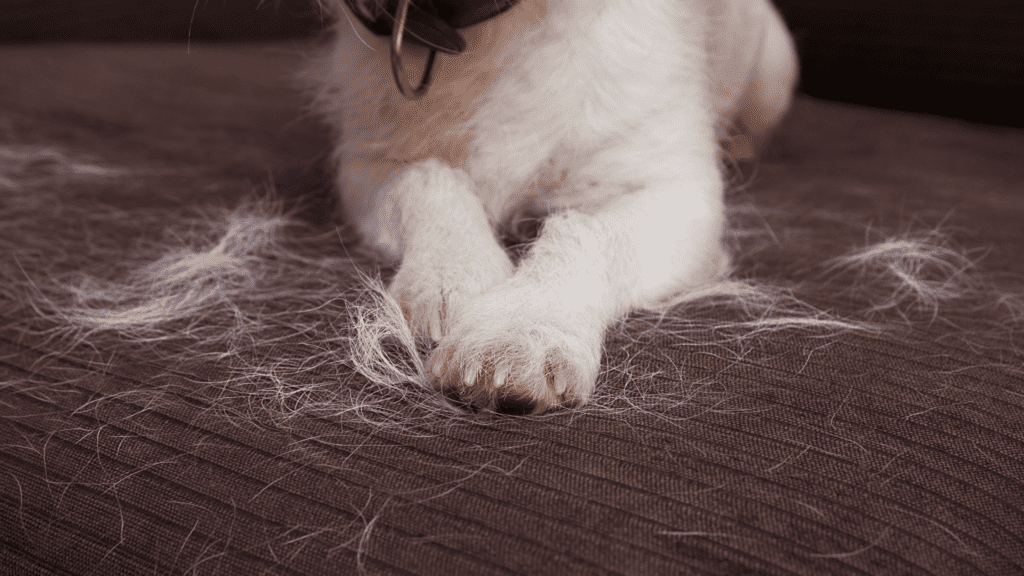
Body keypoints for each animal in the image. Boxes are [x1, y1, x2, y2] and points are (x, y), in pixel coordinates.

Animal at [303, 0, 798, 412]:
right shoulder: (368, 168)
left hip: (773, 71)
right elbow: (429, 179)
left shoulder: (676, 193)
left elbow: (588, 232)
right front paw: (453, 273)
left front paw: (523, 328)